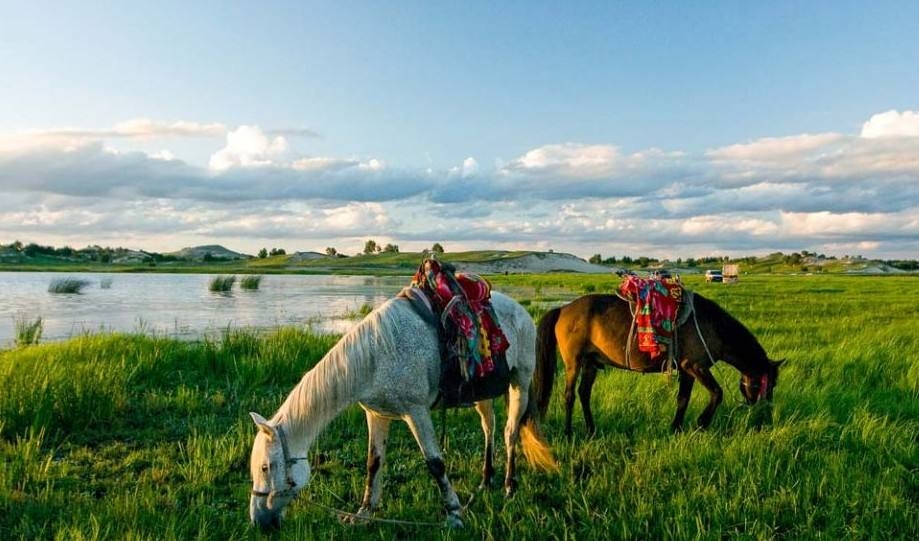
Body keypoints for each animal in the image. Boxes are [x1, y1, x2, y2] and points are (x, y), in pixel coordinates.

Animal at [248, 288, 556, 528]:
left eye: (265, 467)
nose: (258, 521)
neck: (375, 357)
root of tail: (521, 311)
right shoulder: (376, 415)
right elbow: (373, 463)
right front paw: (364, 513)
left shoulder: (416, 412)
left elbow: (436, 464)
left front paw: (454, 515)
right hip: (484, 394)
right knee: (488, 428)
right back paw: (485, 480)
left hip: (520, 383)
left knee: (510, 432)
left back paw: (509, 485)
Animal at [532, 292, 784, 434]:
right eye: (769, 384)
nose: (765, 415)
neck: (713, 326)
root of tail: (563, 309)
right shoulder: (696, 366)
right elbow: (717, 393)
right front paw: (702, 423)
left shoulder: (687, 371)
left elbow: (683, 399)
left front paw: (676, 428)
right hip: (573, 363)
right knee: (569, 396)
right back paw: (568, 433)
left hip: (590, 363)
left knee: (584, 394)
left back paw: (591, 429)